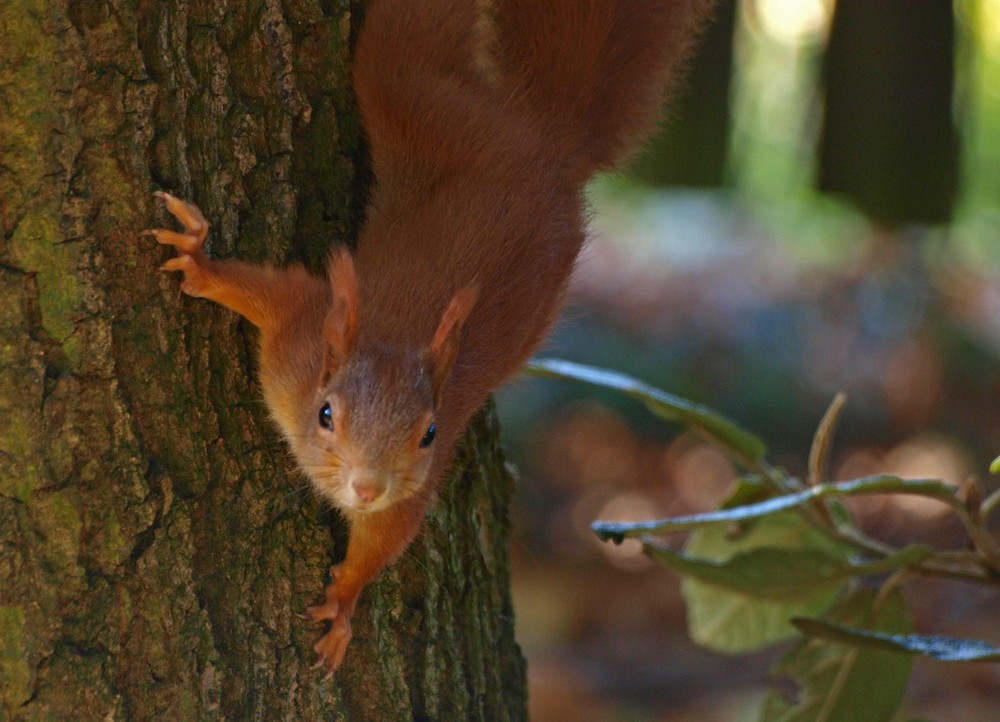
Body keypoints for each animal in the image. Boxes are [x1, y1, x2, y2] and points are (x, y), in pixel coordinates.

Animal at [145, 0, 716, 668]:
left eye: (430, 435)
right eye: (326, 414)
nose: (367, 488)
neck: (394, 341)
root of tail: (550, 142)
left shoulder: (416, 483)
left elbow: (387, 538)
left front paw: (344, 601)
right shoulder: (300, 331)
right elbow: (264, 290)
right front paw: (200, 262)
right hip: (426, 105)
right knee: (407, 44)